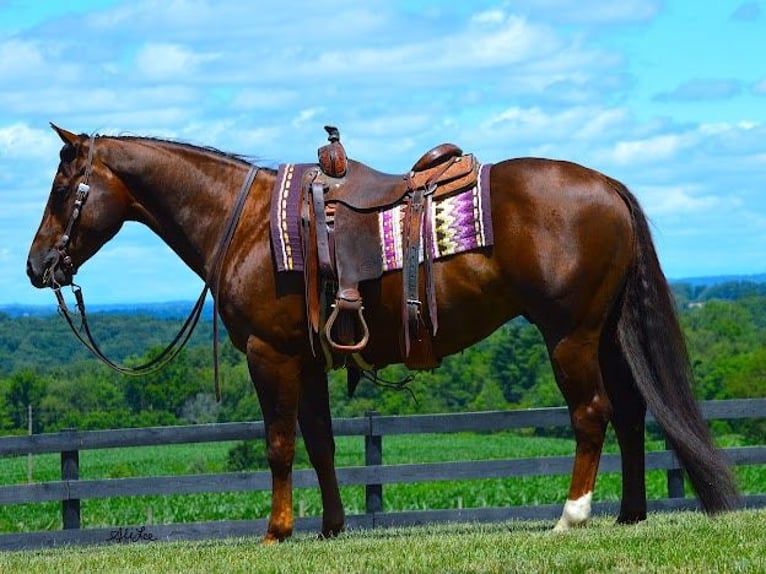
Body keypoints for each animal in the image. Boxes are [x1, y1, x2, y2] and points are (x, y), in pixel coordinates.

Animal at [27, 125, 740, 544]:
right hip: (608, 332)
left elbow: (279, 445)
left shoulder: (269, 355)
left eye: (64, 188)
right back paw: (629, 515)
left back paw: (571, 516)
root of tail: (609, 186)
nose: (37, 267)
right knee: (632, 411)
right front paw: (331, 528)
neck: (248, 222)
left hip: (568, 334)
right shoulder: (306, 359)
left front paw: (276, 532)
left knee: (592, 413)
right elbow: (320, 445)